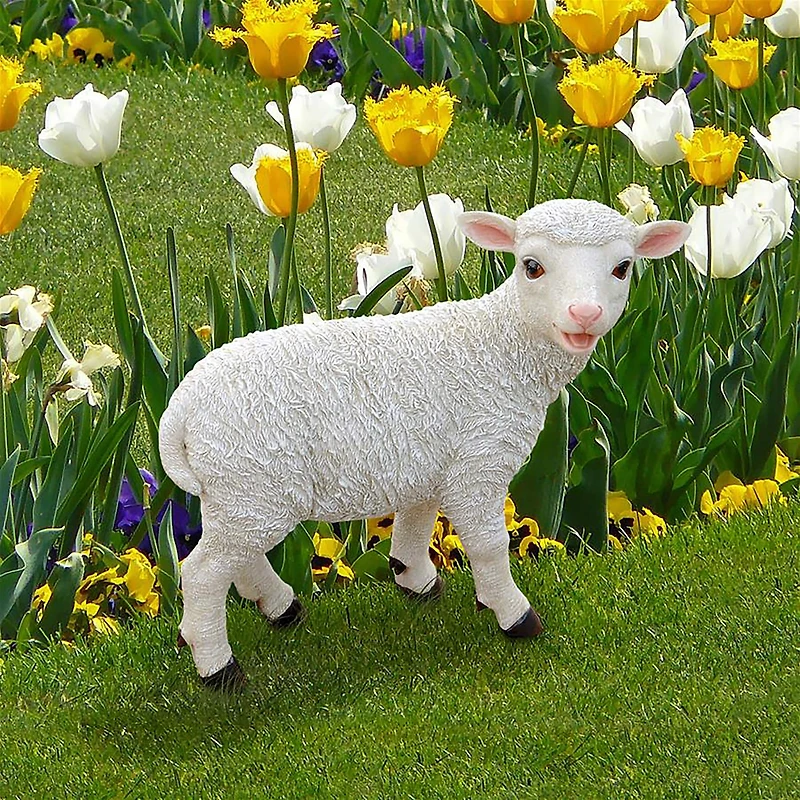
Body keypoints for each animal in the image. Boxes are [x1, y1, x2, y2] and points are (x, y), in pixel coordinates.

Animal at [159, 199, 690, 689]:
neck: (502, 345)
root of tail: (181, 406)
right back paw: (219, 668)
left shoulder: (429, 459)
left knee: (234, 556)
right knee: (203, 573)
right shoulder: (480, 458)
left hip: (239, 489)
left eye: (622, 268)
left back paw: (281, 608)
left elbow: (416, 522)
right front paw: (514, 615)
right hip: (253, 481)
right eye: (531, 266)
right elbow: (489, 545)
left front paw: (415, 580)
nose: (585, 314)